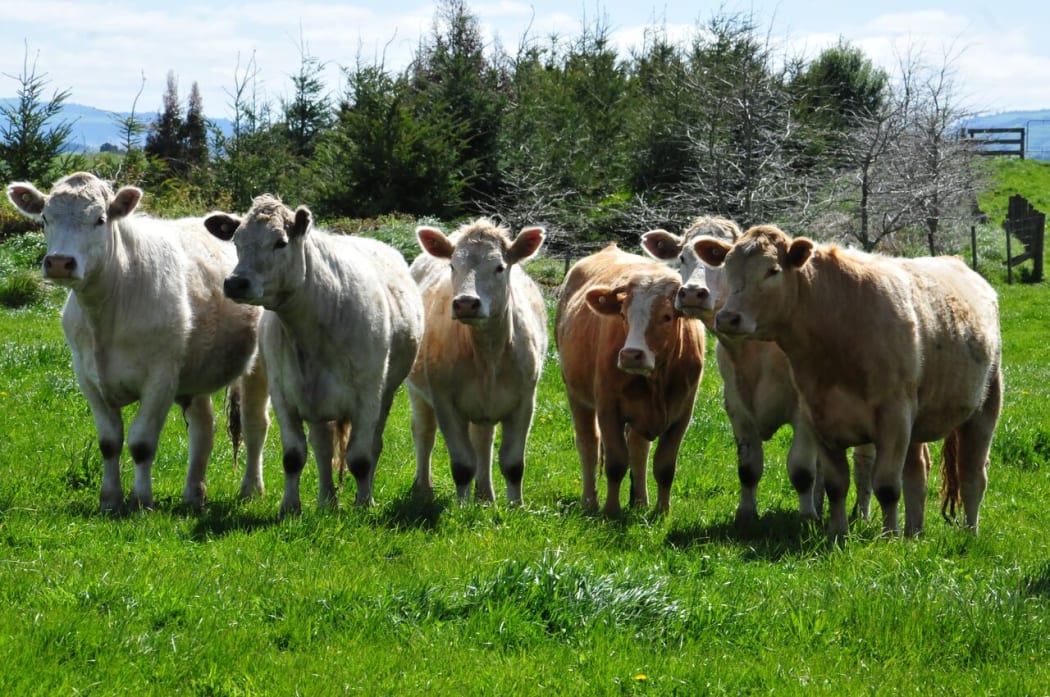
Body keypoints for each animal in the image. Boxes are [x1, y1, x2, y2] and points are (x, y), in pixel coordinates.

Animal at [6, 172, 269, 511]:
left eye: (100, 219)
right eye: (45, 218)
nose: (60, 262)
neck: (106, 313)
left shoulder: (161, 377)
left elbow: (142, 443)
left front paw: (142, 500)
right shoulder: (86, 376)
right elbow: (109, 442)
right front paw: (110, 499)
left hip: (260, 364)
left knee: (254, 424)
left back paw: (250, 489)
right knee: (203, 428)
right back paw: (193, 495)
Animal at [205, 195, 424, 515]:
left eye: (280, 242)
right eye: (237, 241)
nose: (235, 282)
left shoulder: (368, 396)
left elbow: (360, 458)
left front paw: (363, 504)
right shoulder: (285, 395)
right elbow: (294, 456)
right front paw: (290, 507)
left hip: (383, 395)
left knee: (372, 445)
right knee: (319, 446)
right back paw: (325, 500)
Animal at [407, 218, 548, 505]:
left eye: (499, 267)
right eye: (453, 265)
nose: (466, 303)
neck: (488, 355)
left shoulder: (525, 401)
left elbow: (513, 464)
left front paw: (516, 506)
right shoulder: (445, 401)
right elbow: (462, 465)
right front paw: (461, 508)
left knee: (483, 440)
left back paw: (485, 497)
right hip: (417, 391)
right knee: (424, 433)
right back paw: (423, 487)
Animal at [556, 244, 705, 516]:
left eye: (667, 316)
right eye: (623, 316)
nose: (631, 354)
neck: (657, 379)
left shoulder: (682, 414)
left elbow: (664, 466)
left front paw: (662, 512)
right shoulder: (608, 408)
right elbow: (616, 462)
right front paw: (611, 510)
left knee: (638, 448)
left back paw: (640, 502)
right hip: (576, 394)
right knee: (588, 443)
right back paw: (590, 501)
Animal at [696, 224, 1002, 537]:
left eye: (772, 270)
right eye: (727, 267)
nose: (728, 318)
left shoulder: (894, 416)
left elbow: (887, 486)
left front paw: (888, 537)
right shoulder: (818, 417)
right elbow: (836, 485)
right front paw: (838, 532)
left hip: (986, 405)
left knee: (972, 475)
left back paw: (969, 532)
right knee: (918, 472)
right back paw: (913, 533)